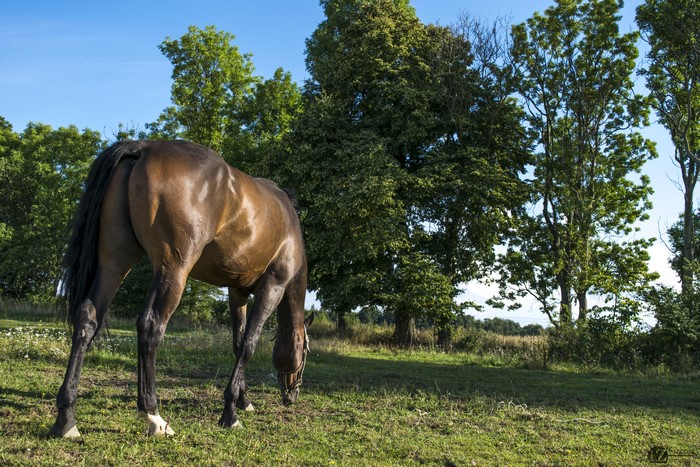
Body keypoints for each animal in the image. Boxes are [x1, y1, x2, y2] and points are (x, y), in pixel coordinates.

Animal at [49, 140, 311, 438]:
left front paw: (243, 401)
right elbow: (248, 344)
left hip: (116, 263)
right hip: (174, 271)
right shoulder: (273, 287)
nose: (292, 395)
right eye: (305, 353)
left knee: (88, 318)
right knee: (151, 326)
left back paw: (66, 417)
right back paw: (153, 415)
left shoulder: (237, 292)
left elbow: (236, 343)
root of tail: (144, 147)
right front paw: (230, 412)